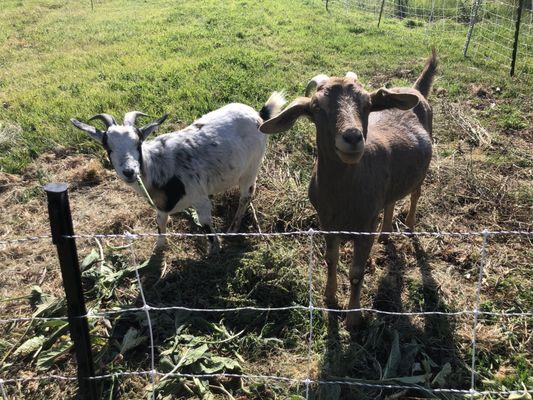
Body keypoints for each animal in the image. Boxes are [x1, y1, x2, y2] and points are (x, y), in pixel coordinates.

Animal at [73, 92, 286, 252]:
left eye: (138, 143)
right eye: (108, 148)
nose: (129, 171)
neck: (158, 165)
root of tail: (260, 115)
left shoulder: (199, 198)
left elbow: (206, 225)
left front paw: (214, 250)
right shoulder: (160, 206)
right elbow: (160, 223)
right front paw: (159, 247)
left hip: (252, 167)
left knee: (246, 195)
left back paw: (234, 227)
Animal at [258, 51, 436, 330]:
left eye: (367, 104)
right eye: (316, 107)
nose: (352, 137)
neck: (343, 195)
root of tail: (416, 89)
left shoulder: (365, 226)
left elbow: (356, 272)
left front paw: (353, 318)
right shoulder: (326, 220)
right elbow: (331, 258)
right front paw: (329, 297)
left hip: (423, 170)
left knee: (416, 194)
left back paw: (408, 225)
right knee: (390, 201)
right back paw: (386, 233)